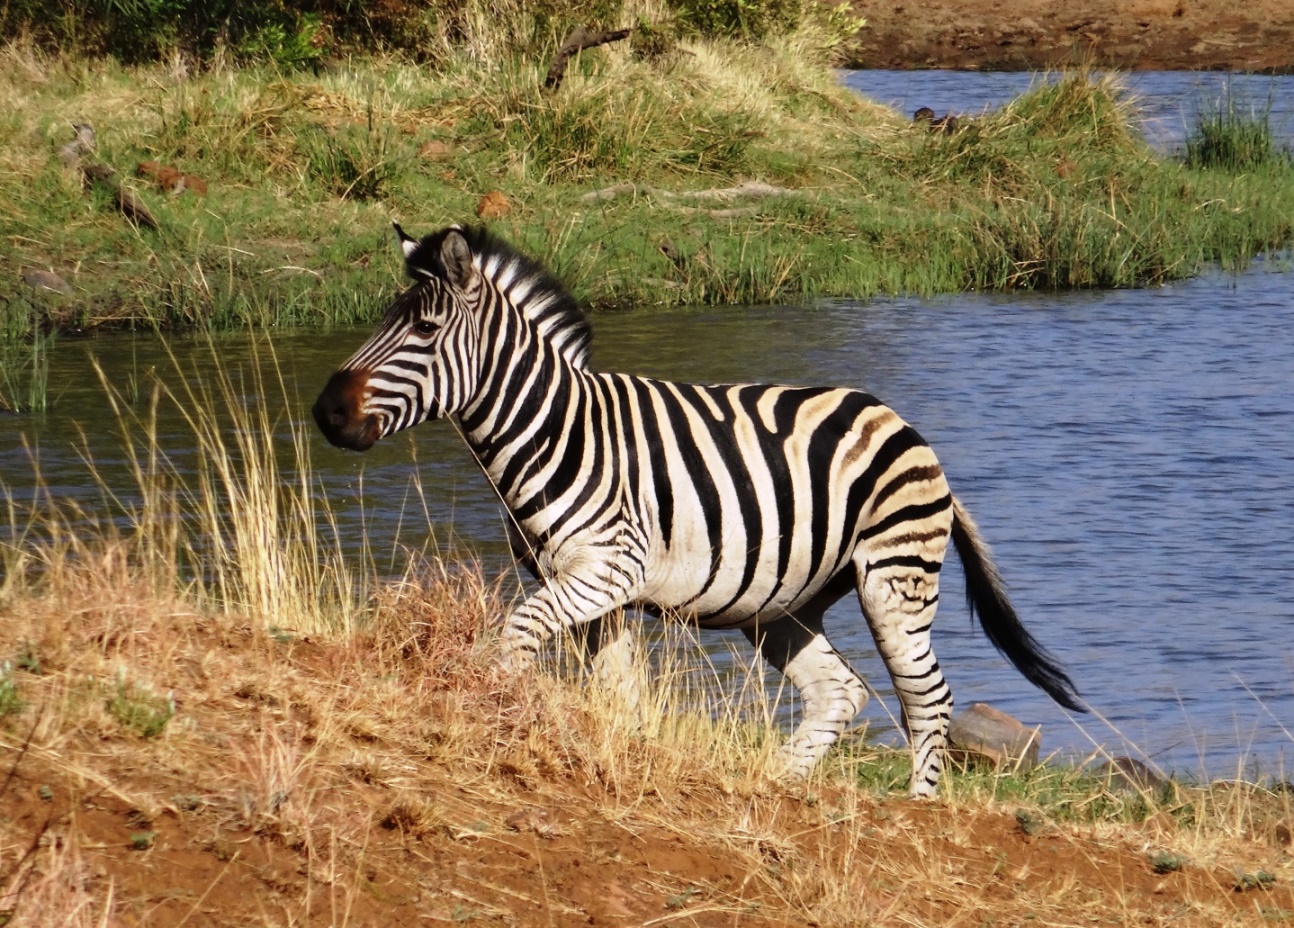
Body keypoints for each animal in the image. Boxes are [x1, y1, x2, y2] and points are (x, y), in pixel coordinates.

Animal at [315, 221, 1081, 792]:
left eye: (422, 332)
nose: (326, 413)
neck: (555, 430)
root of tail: (901, 422)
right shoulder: (596, 592)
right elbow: (617, 692)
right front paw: (620, 764)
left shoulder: (610, 568)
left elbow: (517, 632)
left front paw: (490, 706)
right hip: (783, 604)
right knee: (840, 691)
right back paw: (774, 785)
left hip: (893, 579)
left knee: (928, 701)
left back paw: (916, 810)